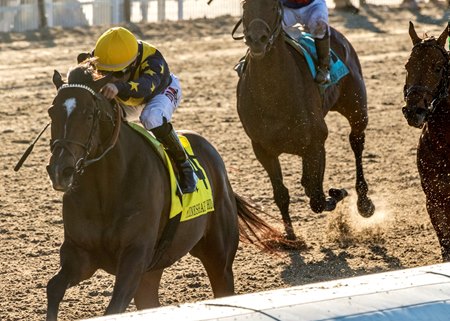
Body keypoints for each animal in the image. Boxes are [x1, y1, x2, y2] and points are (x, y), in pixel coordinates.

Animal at [44, 61, 286, 318]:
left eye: (89, 114)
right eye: (52, 112)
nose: (60, 170)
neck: (108, 188)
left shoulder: (135, 256)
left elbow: (114, 307)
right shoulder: (80, 254)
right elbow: (54, 288)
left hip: (219, 256)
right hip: (152, 271)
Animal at [237, 0, 374, 240]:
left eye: (273, 6)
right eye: (245, 5)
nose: (257, 39)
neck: (272, 94)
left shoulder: (315, 142)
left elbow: (317, 197)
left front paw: (336, 193)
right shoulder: (263, 149)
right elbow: (282, 193)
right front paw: (290, 234)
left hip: (357, 108)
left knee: (356, 143)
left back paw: (364, 202)